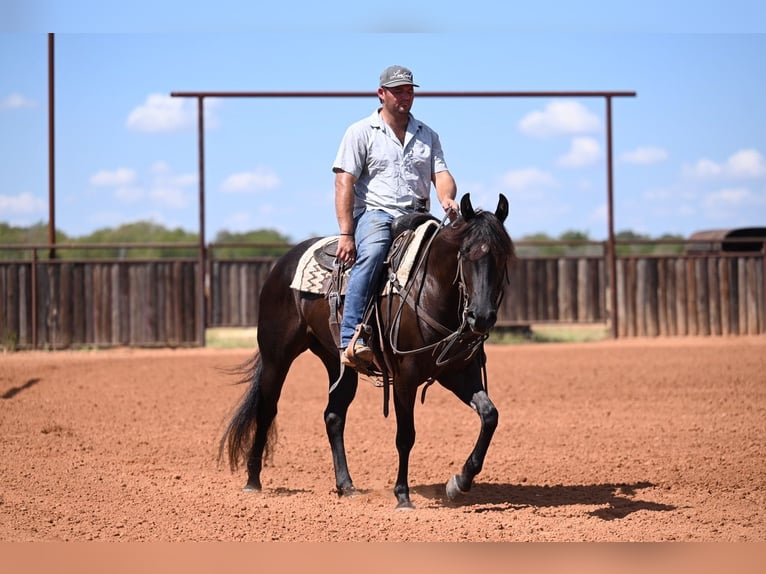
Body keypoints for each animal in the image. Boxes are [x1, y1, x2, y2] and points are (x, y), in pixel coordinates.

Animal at [219, 193, 515, 509]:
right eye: (466, 253)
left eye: (502, 257)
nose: (481, 317)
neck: (430, 289)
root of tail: (282, 264)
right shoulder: (406, 376)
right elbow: (405, 435)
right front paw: (402, 496)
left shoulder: (459, 372)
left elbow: (490, 415)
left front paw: (459, 482)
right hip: (277, 355)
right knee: (266, 409)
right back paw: (253, 482)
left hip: (337, 362)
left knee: (334, 416)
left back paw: (346, 485)